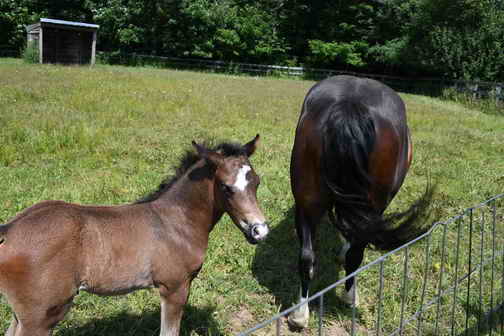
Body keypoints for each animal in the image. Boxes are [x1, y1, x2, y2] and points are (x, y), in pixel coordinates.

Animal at [0, 136, 268, 336]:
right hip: (41, 316)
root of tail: (9, 229)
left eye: (256, 182)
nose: (260, 230)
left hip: (23, 314)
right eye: (225, 187)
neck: (176, 221)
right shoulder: (174, 287)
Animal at [290, 76, 432, 328]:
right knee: (355, 256)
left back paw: (299, 314)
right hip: (371, 207)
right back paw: (349, 297)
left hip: (307, 204)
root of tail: (350, 104)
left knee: (306, 257)